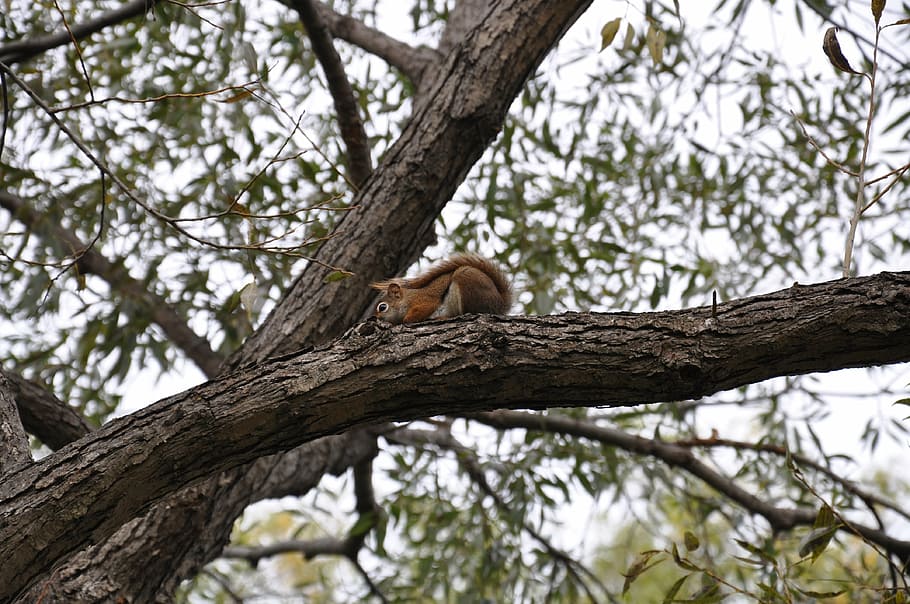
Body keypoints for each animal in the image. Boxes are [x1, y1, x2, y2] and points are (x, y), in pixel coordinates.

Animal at [370, 253, 512, 324]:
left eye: (382, 307)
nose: (374, 318)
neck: (407, 299)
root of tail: (500, 304)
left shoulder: (425, 300)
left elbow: (423, 309)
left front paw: (407, 320)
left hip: (467, 284)